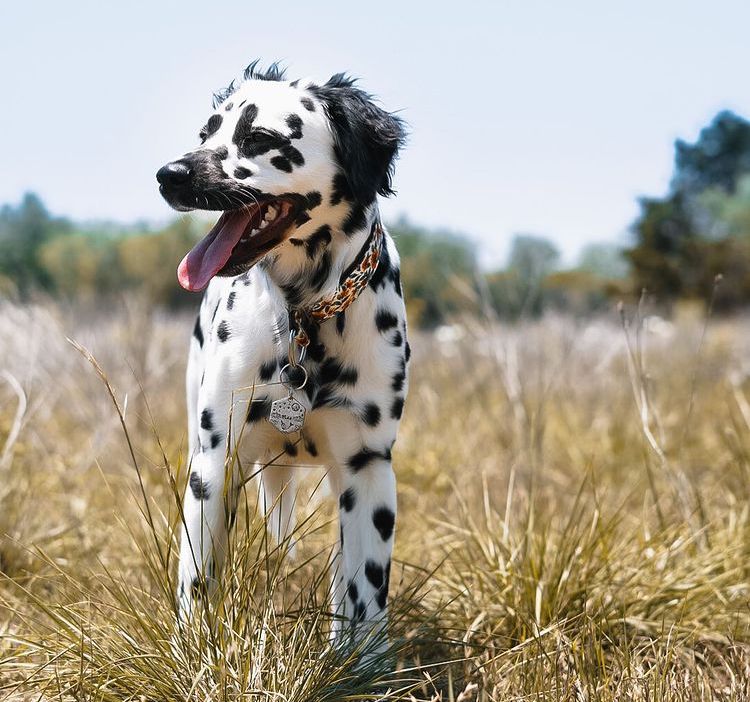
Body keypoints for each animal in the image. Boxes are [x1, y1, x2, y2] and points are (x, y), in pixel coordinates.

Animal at [156, 63, 408, 648]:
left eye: (259, 138)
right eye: (206, 133)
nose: (169, 174)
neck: (304, 316)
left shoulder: (368, 469)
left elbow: (365, 595)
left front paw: (364, 662)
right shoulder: (214, 462)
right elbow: (198, 582)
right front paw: (195, 652)